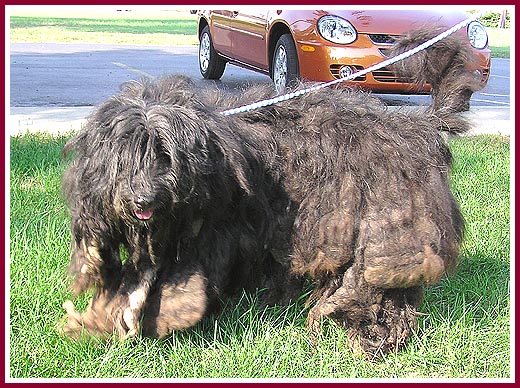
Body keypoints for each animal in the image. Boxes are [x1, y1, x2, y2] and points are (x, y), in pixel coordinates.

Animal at [62, 27, 484, 356]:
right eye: (123, 159)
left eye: (164, 155)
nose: (143, 200)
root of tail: (419, 126)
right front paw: (106, 317)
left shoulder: (214, 234)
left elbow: (183, 284)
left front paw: (164, 315)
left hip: (388, 231)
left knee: (382, 288)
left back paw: (373, 338)